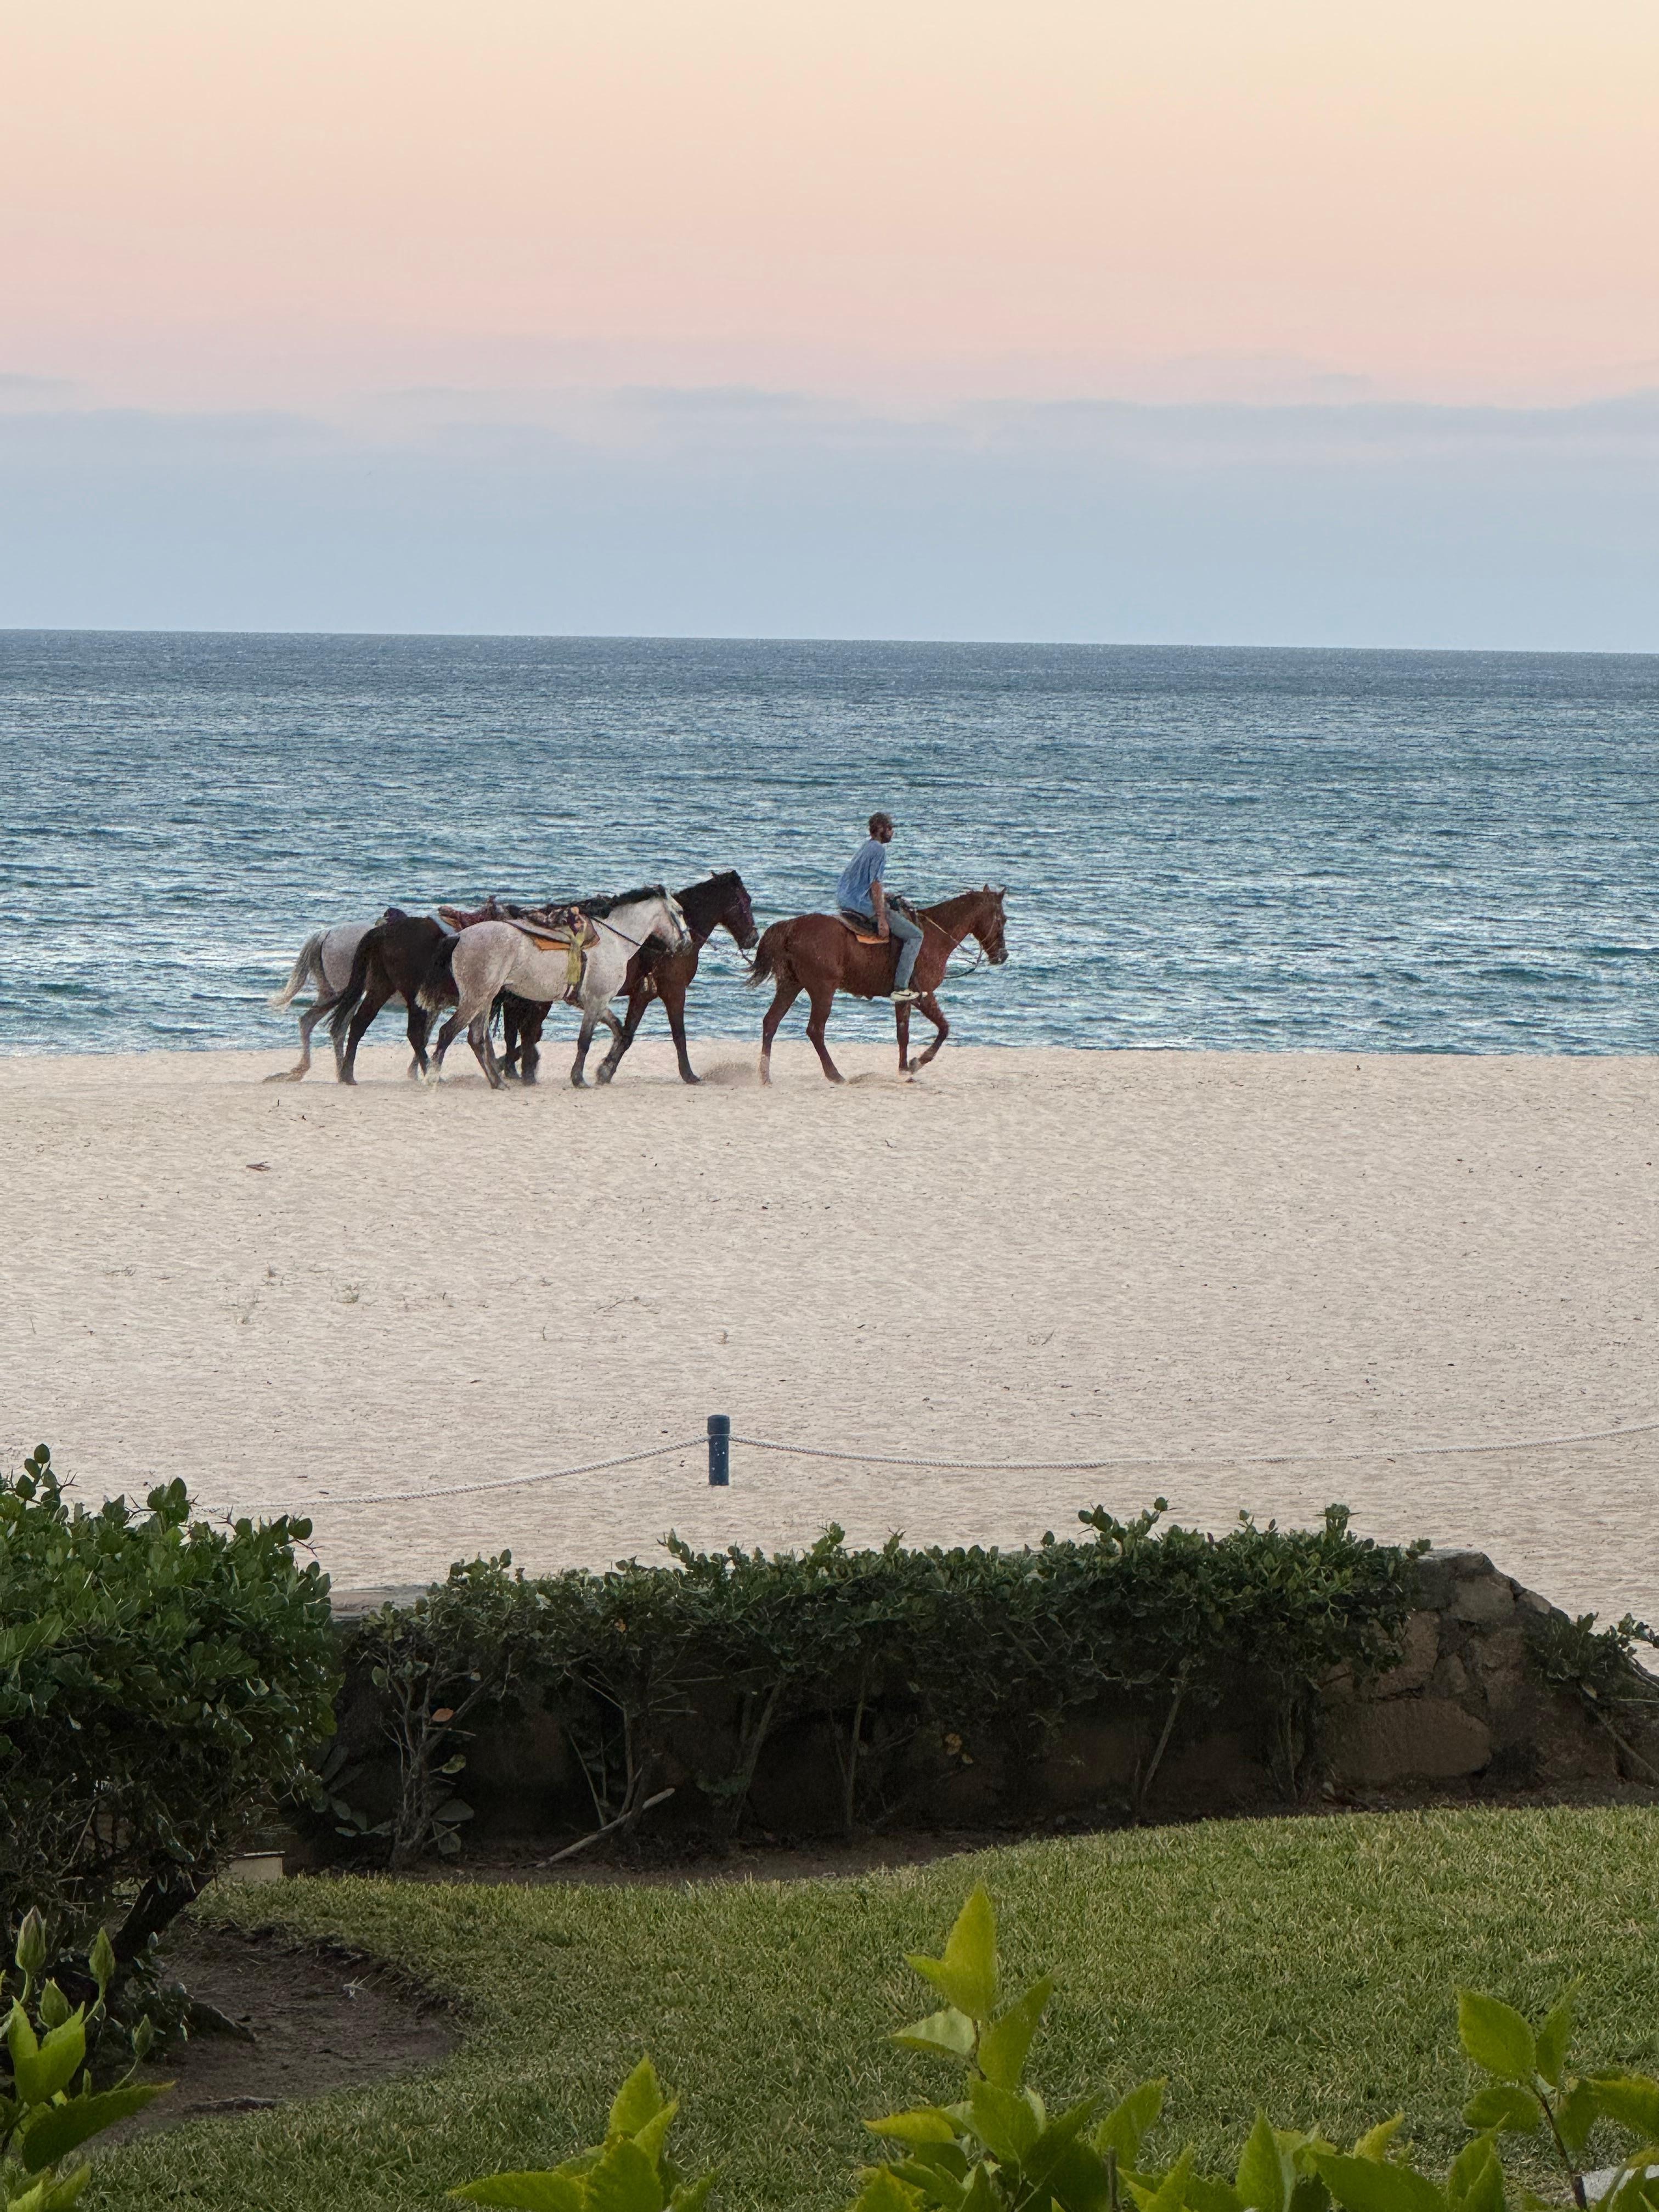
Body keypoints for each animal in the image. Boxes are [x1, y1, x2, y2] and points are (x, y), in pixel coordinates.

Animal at [325, 910, 459, 1084]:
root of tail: (384, 931)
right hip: (414, 997)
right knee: (415, 1034)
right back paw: (430, 1074)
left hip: (381, 987)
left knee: (359, 1023)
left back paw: (347, 1075)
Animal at [427, 887, 693, 1090]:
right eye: (680, 912)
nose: (687, 944)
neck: (613, 940)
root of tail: (461, 937)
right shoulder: (595, 1002)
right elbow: (584, 1041)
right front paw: (579, 1079)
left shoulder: (593, 1003)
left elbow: (621, 1031)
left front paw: (605, 1069)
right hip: (476, 998)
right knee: (448, 1032)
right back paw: (432, 1076)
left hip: (485, 999)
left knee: (477, 1039)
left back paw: (497, 1082)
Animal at [500, 872, 760, 1088]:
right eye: (745, 901)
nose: (753, 938)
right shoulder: (673, 991)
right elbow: (678, 1035)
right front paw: (689, 1074)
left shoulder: (642, 994)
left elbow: (627, 1034)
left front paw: (605, 1070)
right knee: (528, 1030)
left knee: (521, 1029)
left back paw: (515, 1068)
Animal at [749, 886, 1008, 1085]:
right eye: (1003, 919)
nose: (1003, 956)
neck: (934, 937)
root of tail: (790, 927)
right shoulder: (923, 995)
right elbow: (944, 1029)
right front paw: (916, 1063)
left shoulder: (904, 999)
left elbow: (903, 1034)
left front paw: (904, 1070)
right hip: (823, 990)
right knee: (815, 1030)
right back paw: (835, 1075)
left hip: (790, 985)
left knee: (771, 1022)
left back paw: (765, 1076)